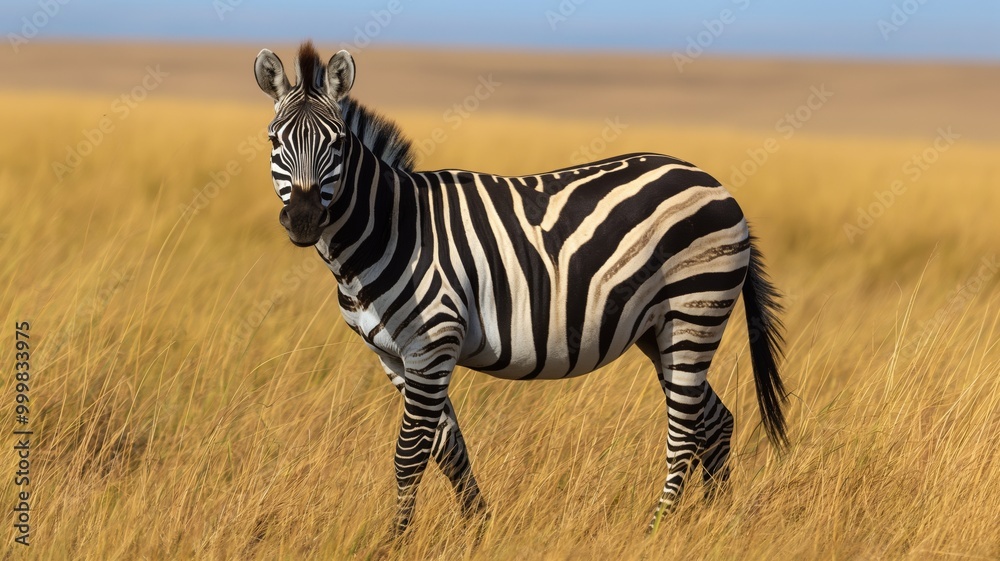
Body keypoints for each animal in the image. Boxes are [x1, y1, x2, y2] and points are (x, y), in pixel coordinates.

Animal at [253, 42, 787, 535]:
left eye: (337, 143)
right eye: (274, 141)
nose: (303, 220)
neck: (391, 228)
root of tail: (716, 184)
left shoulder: (433, 342)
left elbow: (410, 455)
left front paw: (395, 542)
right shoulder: (393, 356)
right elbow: (448, 449)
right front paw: (478, 529)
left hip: (694, 310)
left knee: (684, 433)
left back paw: (656, 529)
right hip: (659, 330)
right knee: (713, 421)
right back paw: (711, 522)